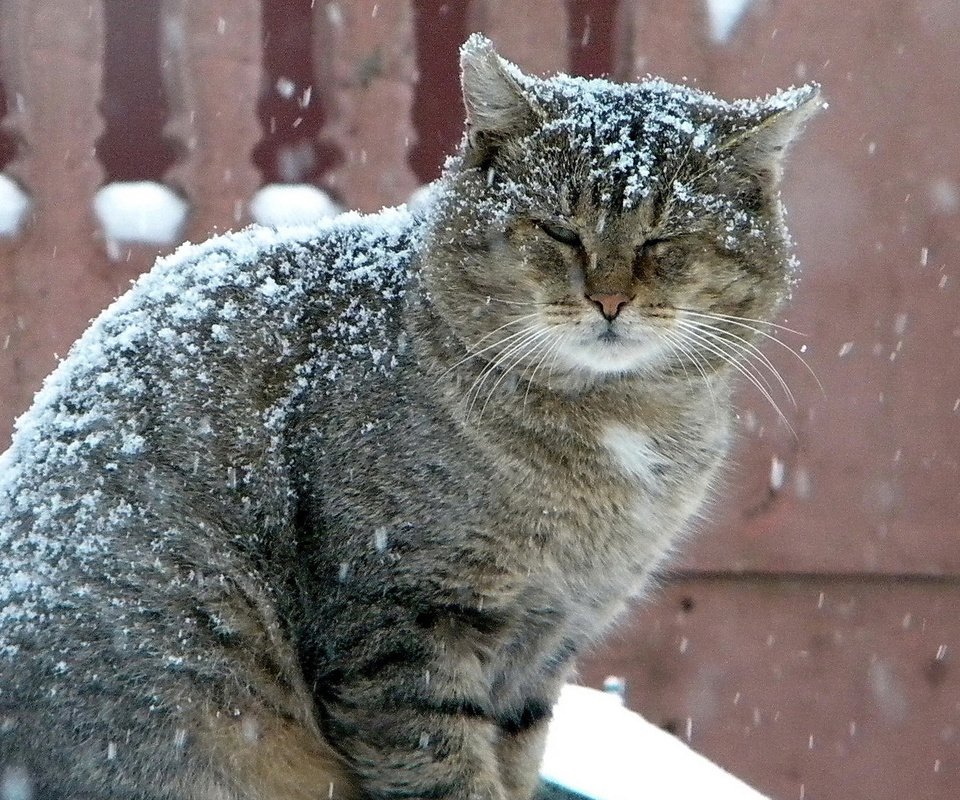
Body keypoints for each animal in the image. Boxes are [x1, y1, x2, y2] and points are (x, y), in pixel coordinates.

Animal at [0, 34, 816, 800]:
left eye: (664, 240)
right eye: (557, 231)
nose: (609, 298)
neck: (610, 431)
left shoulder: (548, 643)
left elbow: (515, 758)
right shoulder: (404, 622)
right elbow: (443, 767)